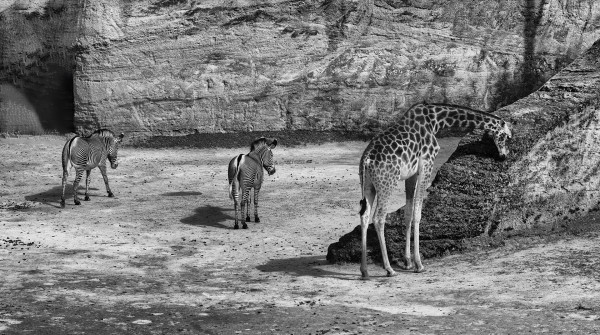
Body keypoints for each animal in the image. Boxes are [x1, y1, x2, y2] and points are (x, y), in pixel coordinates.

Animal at [356, 101, 510, 278]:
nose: (504, 156)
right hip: (387, 183)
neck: (436, 121)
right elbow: (417, 214)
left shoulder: (411, 174)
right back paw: (389, 269)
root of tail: (367, 159)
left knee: (364, 216)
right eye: (506, 136)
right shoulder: (427, 165)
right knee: (379, 217)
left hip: (368, 185)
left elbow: (408, 213)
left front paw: (408, 262)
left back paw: (364, 270)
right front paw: (419, 264)